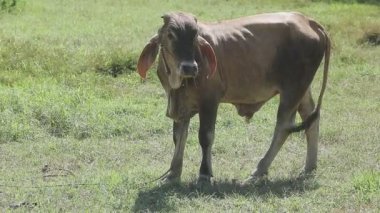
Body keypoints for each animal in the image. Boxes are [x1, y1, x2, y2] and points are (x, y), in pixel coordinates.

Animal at [137, 11, 330, 185]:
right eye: (170, 35)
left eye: (195, 36)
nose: (189, 67)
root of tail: (308, 20)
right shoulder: (180, 104)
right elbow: (179, 137)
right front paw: (172, 174)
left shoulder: (209, 101)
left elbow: (205, 136)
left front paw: (205, 175)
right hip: (302, 90)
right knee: (311, 119)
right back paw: (309, 167)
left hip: (292, 89)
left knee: (284, 127)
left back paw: (258, 171)